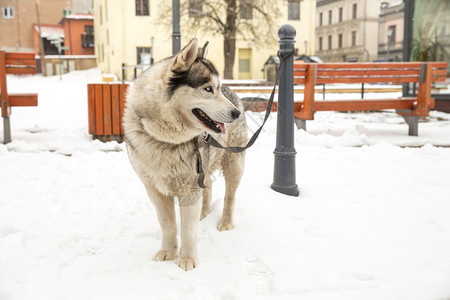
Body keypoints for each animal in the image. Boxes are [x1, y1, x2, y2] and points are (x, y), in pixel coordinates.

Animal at [124, 38, 246, 270]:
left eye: (216, 89)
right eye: (208, 89)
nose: (236, 113)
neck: (165, 141)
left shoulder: (189, 189)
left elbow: (188, 230)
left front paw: (187, 259)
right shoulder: (154, 190)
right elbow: (168, 224)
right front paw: (168, 252)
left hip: (234, 163)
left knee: (230, 195)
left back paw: (226, 221)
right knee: (208, 186)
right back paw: (204, 213)